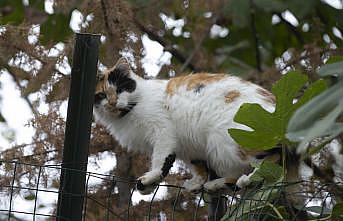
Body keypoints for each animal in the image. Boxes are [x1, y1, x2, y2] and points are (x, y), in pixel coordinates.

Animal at [93, 57, 280, 193]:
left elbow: (161, 158)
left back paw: (249, 178)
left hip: (226, 140)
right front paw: (196, 183)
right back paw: (216, 185)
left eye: (119, 90)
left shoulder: (163, 131)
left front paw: (151, 177)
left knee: (271, 158)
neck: (129, 111)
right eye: (102, 95)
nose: (112, 103)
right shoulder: (187, 146)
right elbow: (197, 166)